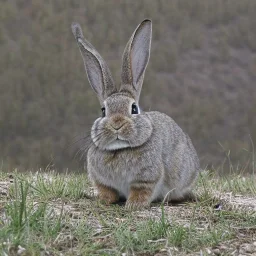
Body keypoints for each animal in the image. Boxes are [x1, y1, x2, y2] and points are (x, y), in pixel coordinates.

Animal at [71, 19, 201, 209]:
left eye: (134, 109)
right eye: (103, 111)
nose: (116, 124)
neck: (120, 150)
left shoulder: (146, 179)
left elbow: (141, 191)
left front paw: (133, 205)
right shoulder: (102, 181)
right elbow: (107, 191)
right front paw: (103, 201)